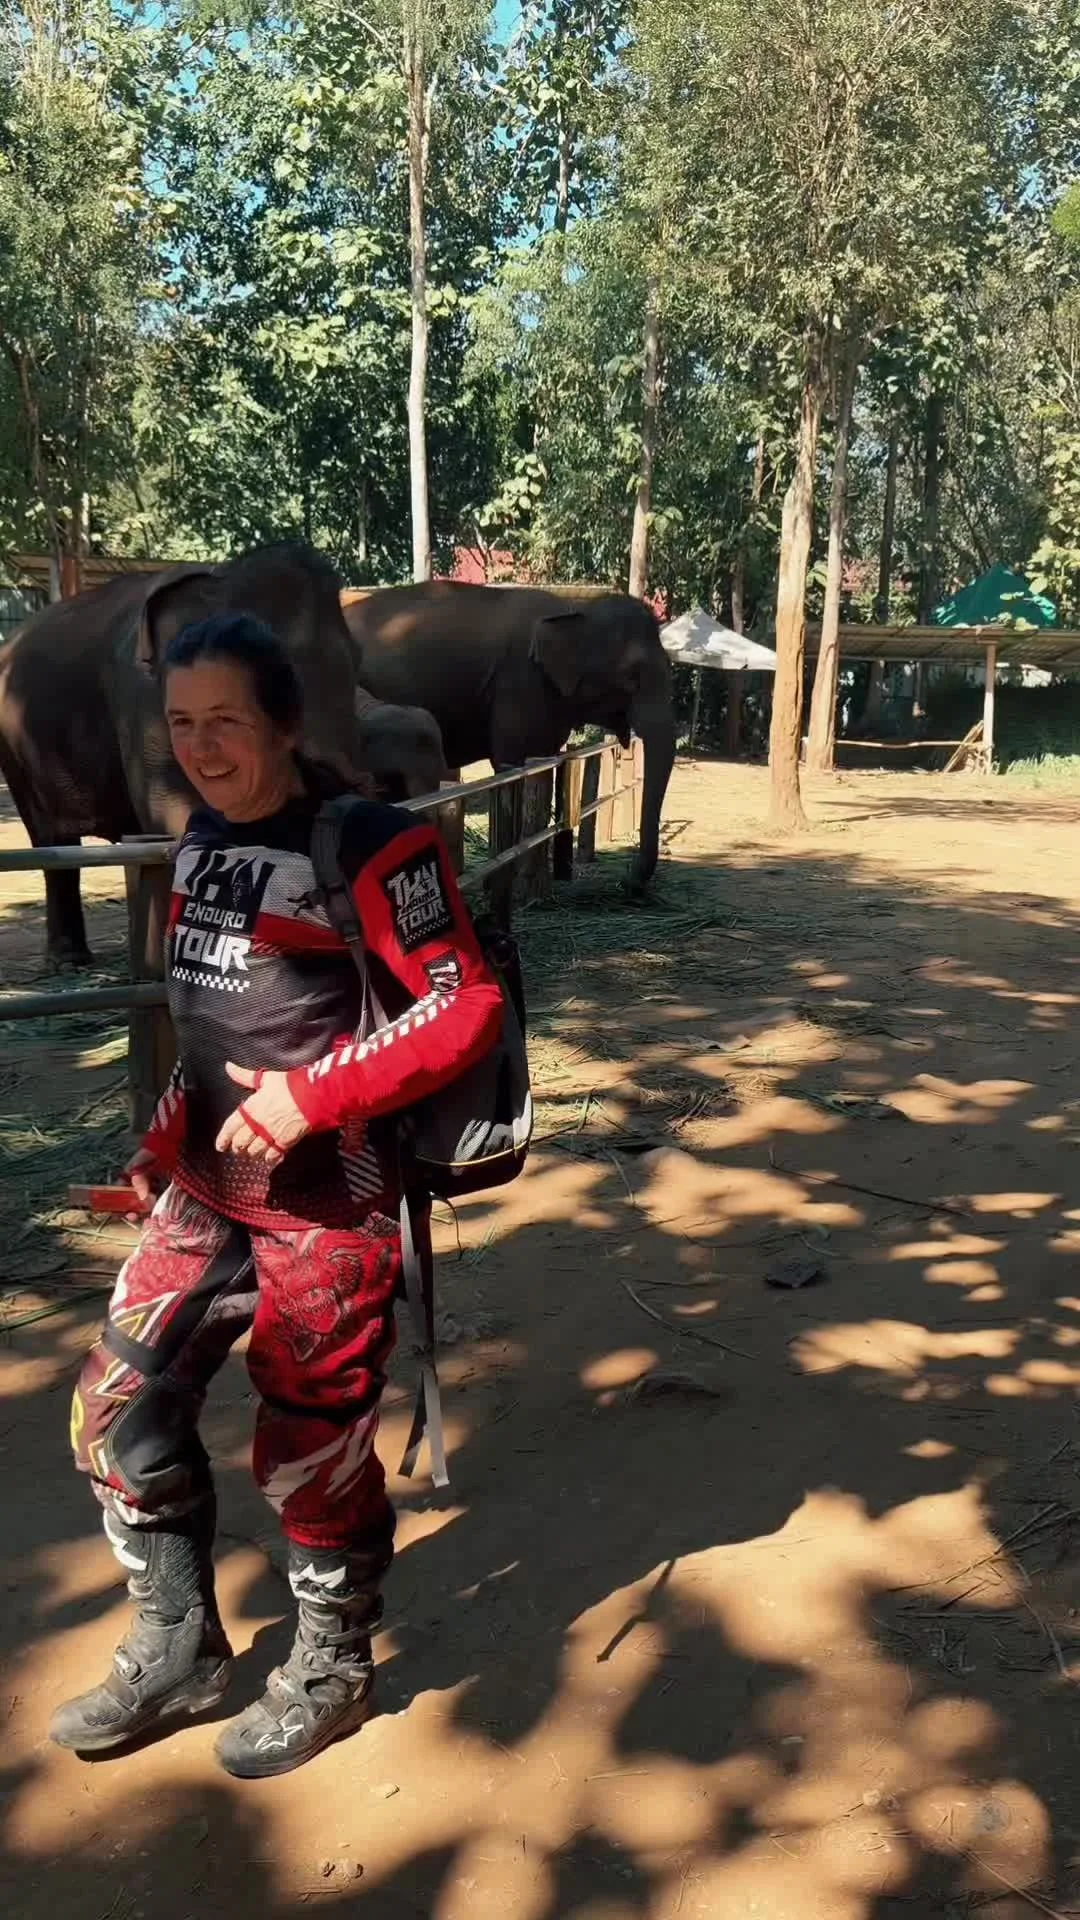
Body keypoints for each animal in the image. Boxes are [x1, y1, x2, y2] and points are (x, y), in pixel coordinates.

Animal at [0, 543, 374, 967]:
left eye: (359, 659)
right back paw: (69, 959)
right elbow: (175, 815)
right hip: (15, 753)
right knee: (49, 841)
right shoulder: (143, 703)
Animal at [342, 583, 676, 887]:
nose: (627, 880)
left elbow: (543, 761)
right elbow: (510, 766)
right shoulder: (518, 686)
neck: (574, 606)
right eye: (632, 677)